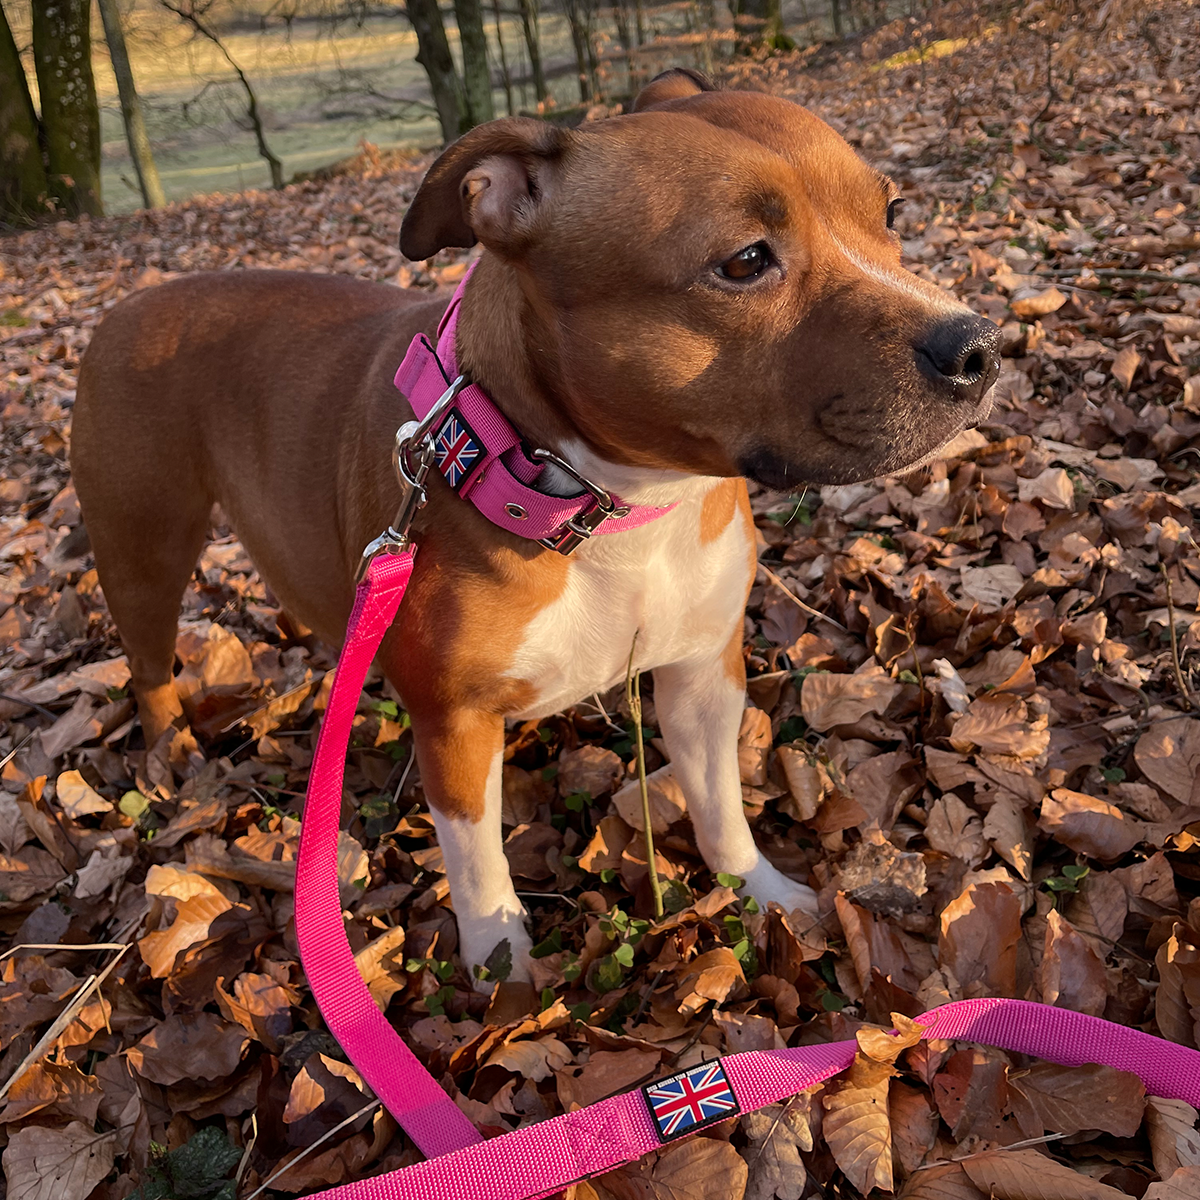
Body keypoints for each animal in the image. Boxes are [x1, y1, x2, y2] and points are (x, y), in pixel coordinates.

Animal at [70, 68, 998, 984]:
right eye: (744, 262)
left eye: (891, 213)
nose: (980, 345)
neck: (612, 503)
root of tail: (125, 305)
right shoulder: (457, 728)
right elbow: (481, 873)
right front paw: (504, 977)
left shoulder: (703, 673)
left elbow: (718, 805)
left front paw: (763, 893)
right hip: (143, 549)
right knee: (149, 665)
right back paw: (170, 755)